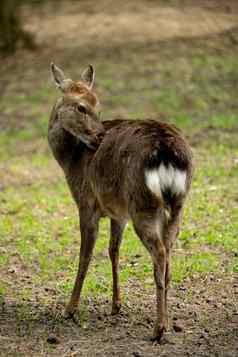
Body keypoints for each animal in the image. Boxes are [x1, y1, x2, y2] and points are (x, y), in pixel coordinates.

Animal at [48, 62, 193, 340]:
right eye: (82, 107)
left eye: (97, 105)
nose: (99, 136)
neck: (71, 161)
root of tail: (168, 153)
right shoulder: (118, 213)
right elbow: (113, 251)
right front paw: (116, 305)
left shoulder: (86, 203)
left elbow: (85, 255)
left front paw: (69, 309)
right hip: (177, 205)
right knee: (168, 256)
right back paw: (167, 321)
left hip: (143, 205)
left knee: (159, 253)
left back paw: (159, 329)